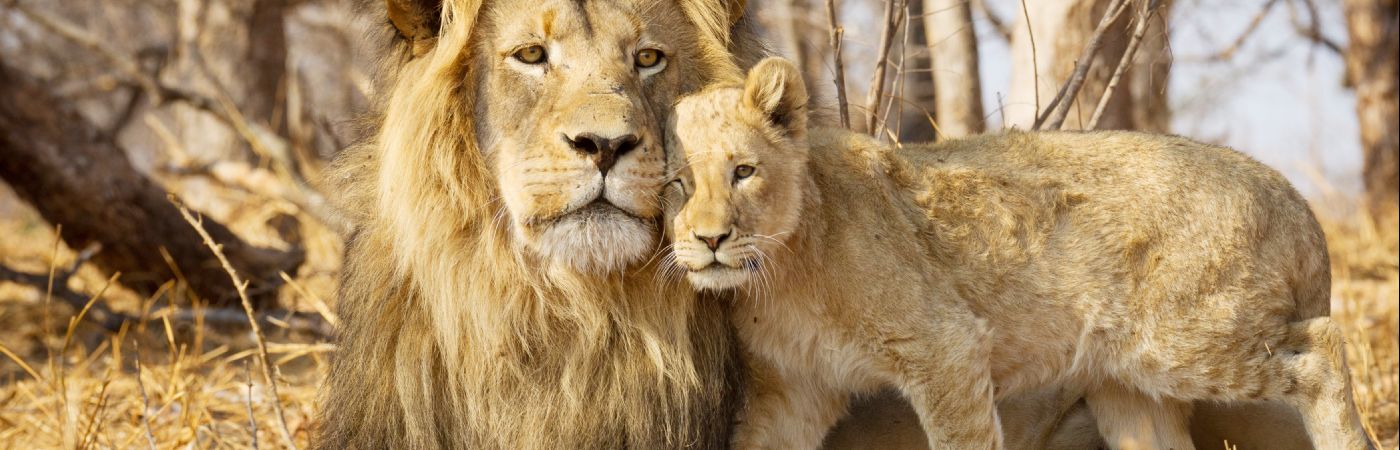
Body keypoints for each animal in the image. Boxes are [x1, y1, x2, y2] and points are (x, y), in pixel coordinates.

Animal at [661, 57, 1373, 450]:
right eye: (675, 184)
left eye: (743, 172)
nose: (711, 240)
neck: (777, 276)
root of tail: (1294, 198)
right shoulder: (793, 391)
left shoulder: (945, 347)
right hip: (1128, 385)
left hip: (1183, 336)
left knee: (1324, 347)